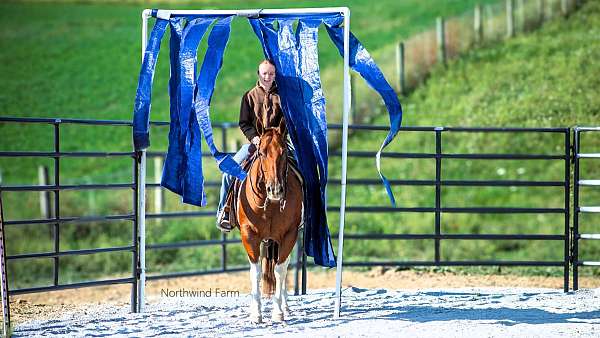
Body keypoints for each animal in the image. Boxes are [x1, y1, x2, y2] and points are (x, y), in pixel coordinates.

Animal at [237, 127, 302, 322]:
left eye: (284, 152)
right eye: (262, 153)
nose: (275, 190)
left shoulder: (289, 235)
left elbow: (280, 270)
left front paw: (278, 311)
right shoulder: (249, 235)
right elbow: (256, 272)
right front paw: (256, 313)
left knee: (284, 267)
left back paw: (286, 306)